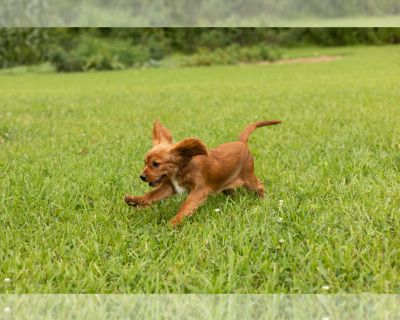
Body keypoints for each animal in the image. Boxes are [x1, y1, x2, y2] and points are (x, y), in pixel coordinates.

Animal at [124, 119, 282, 226]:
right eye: (145, 162)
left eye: (155, 164)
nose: (142, 176)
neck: (183, 168)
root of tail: (241, 142)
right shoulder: (169, 187)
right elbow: (151, 195)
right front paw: (133, 200)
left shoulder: (199, 191)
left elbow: (185, 206)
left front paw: (173, 222)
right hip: (226, 184)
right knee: (232, 192)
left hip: (248, 178)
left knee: (260, 185)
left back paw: (262, 199)